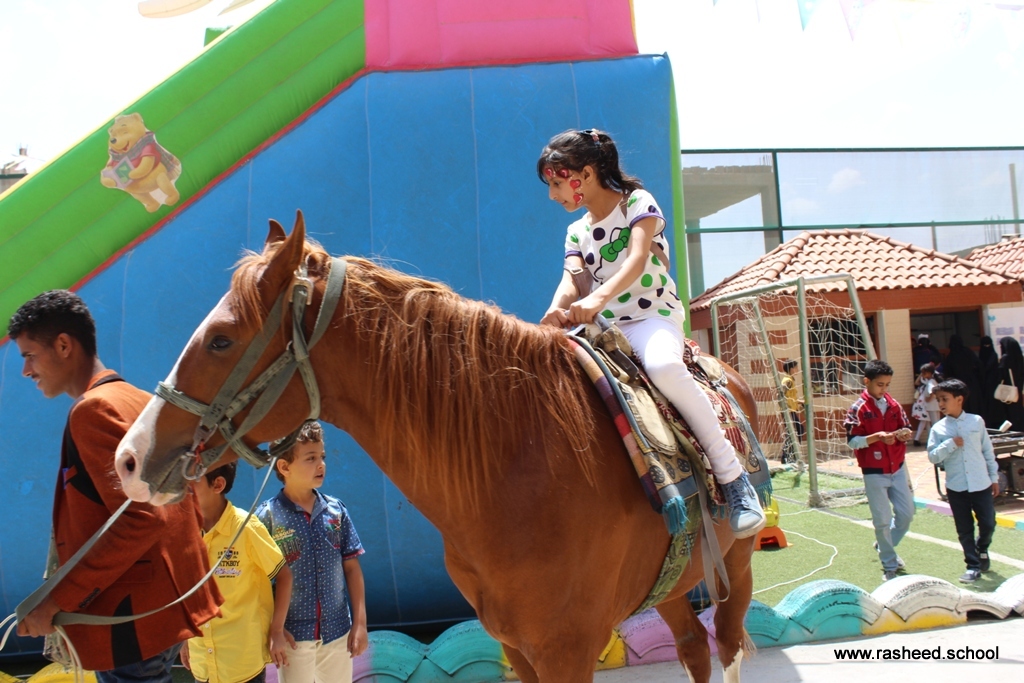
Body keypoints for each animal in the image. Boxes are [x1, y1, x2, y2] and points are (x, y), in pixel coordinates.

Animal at [115, 212, 759, 683]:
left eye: (222, 339)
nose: (128, 458)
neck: (529, 465)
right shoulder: (519, 649)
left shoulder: (568, 649)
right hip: (674, 580)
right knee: (693, 649)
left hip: (737, 563)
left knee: (725, 646)